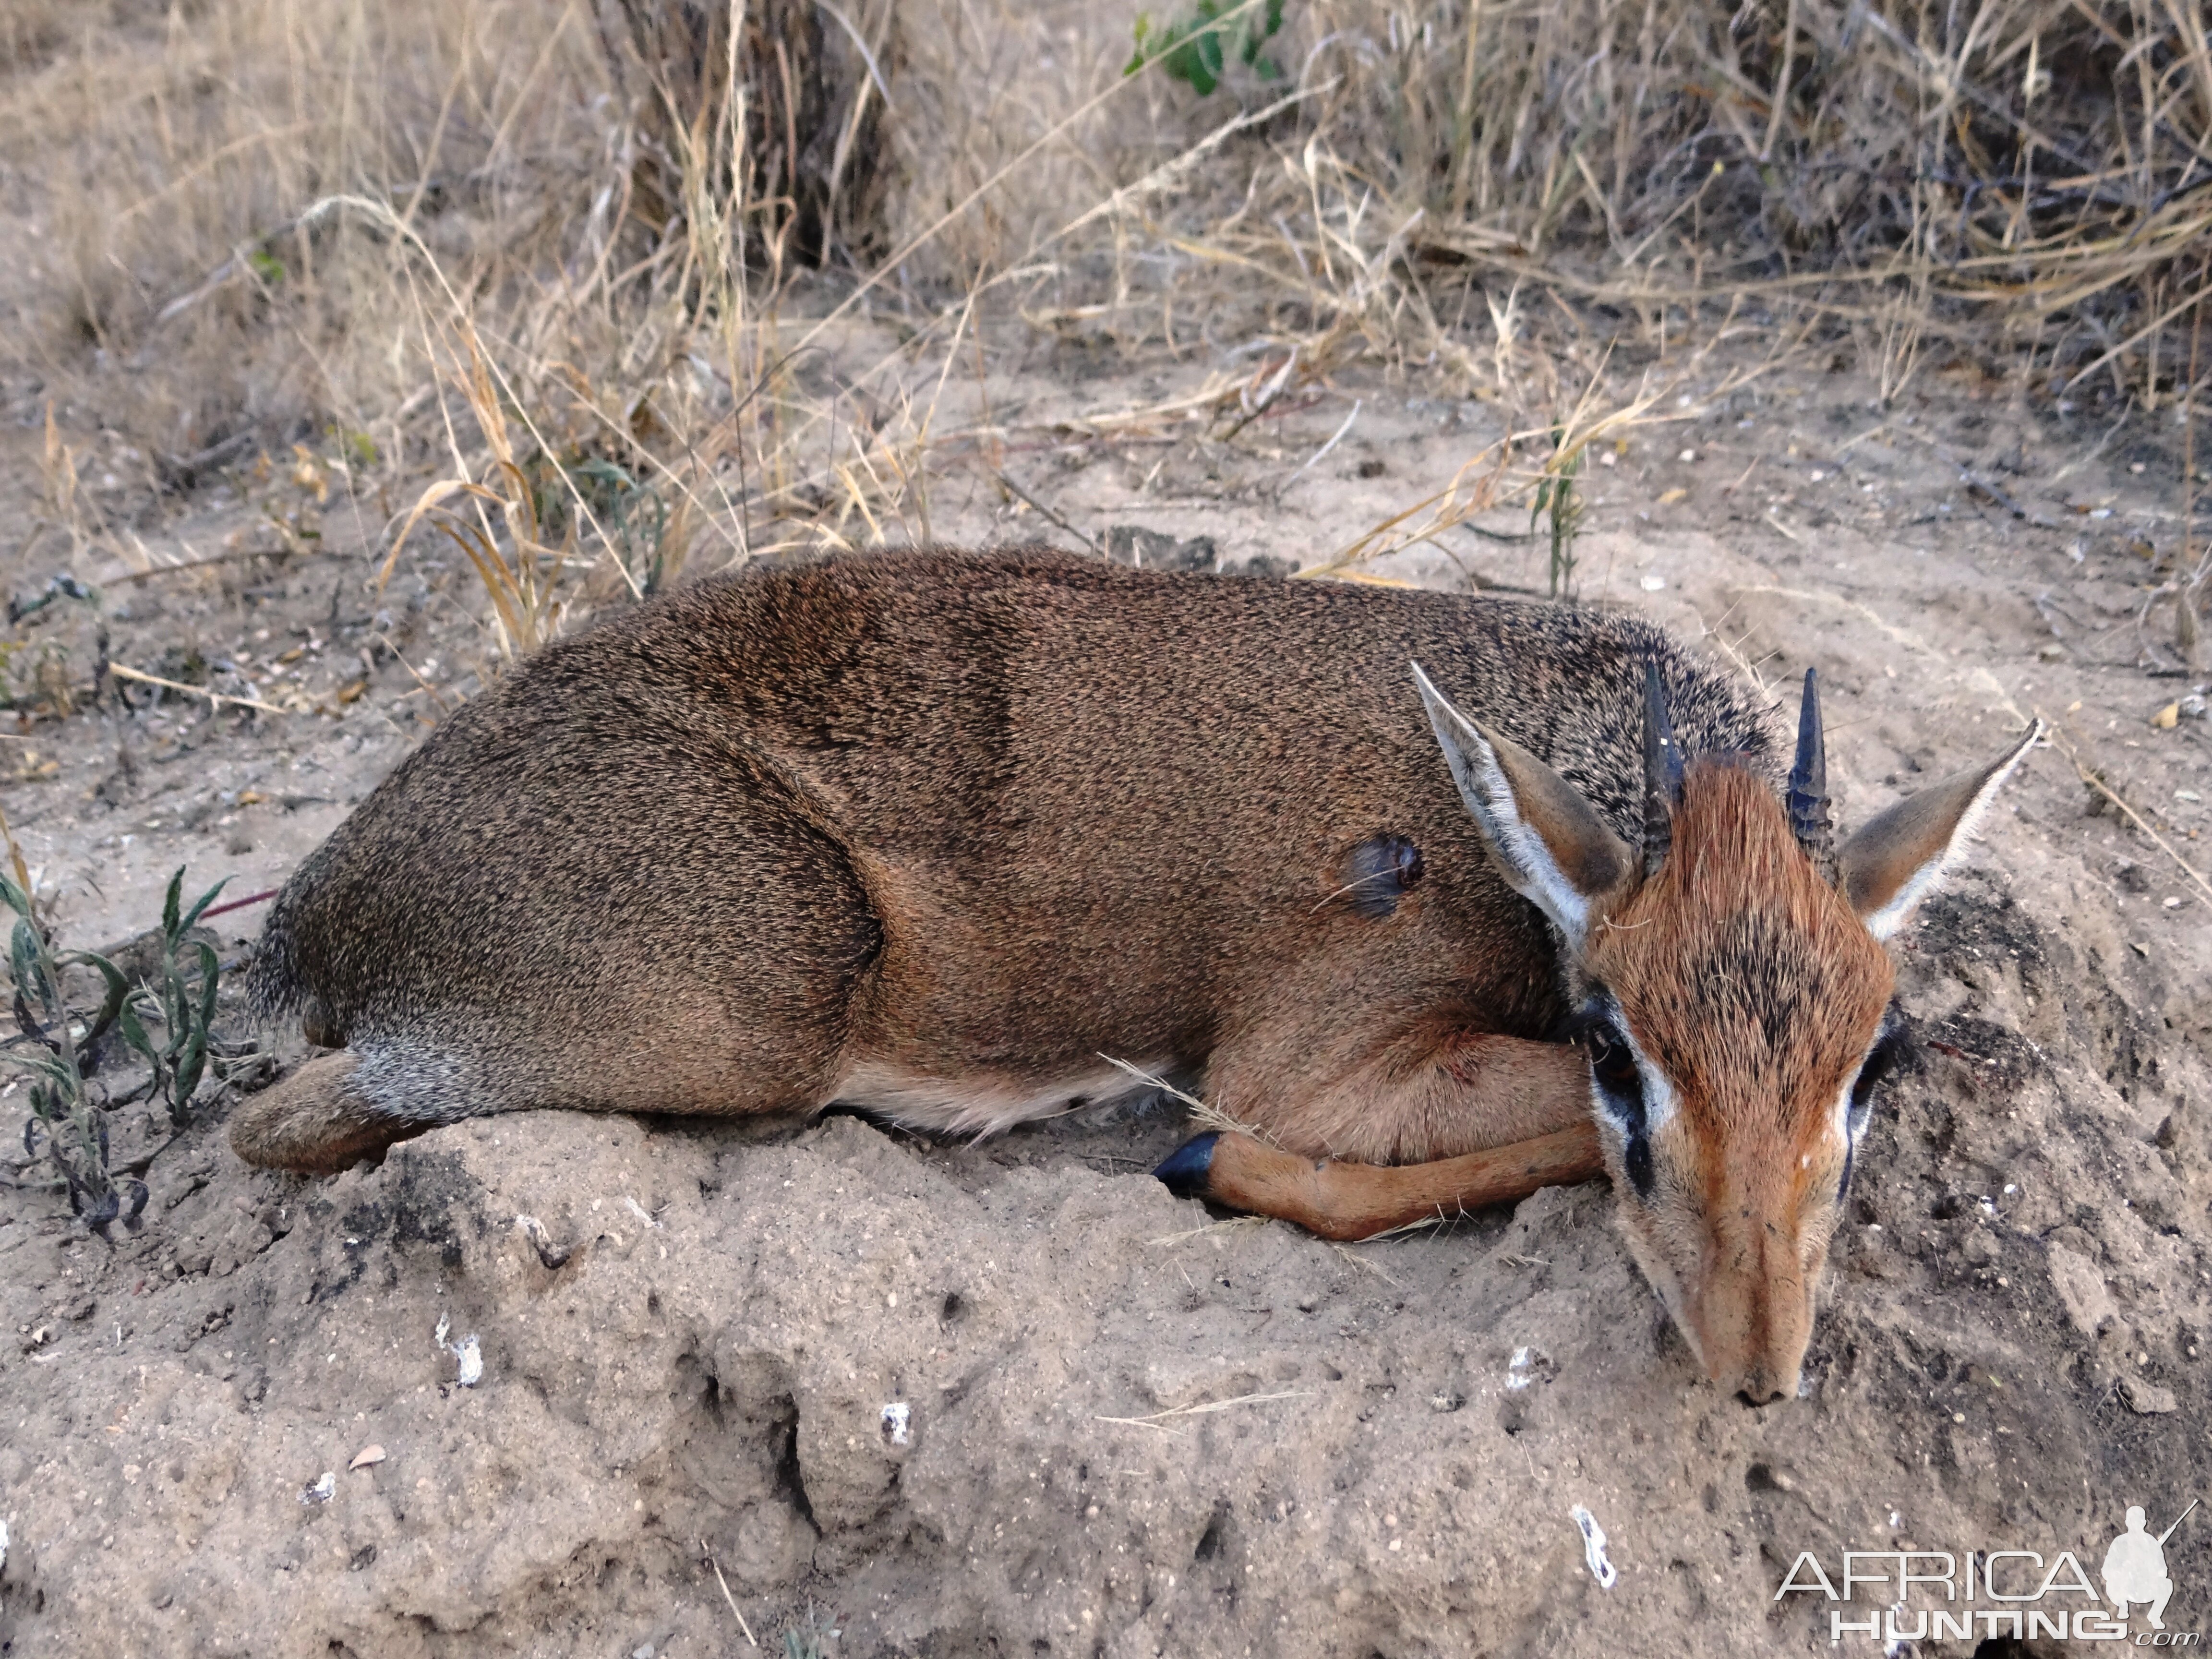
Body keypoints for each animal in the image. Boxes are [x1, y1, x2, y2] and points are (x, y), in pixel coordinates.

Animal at [238, 548, 2035, 1407]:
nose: (1757, 1371)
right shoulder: (1313, 1064)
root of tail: (317, 906)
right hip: (753, 1001)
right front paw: (1202, 1164)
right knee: (278, 1122)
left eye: (1870, 1058)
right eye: (1615, 1048)